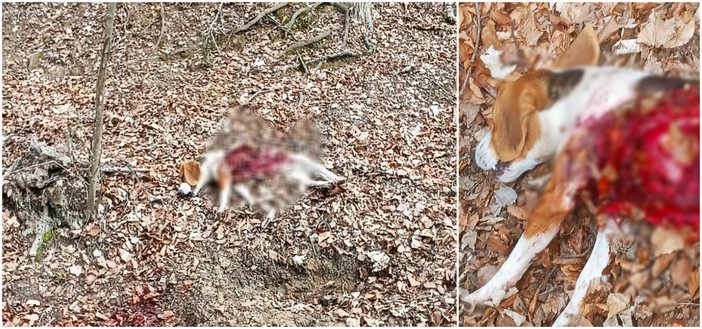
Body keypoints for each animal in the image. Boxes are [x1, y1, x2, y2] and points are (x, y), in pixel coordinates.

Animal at [464, 25, 700, 326]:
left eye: (494, 123)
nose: (473, 154)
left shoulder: (556, 197)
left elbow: (518, 254)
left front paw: (482, 294)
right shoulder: (614, 216)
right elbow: (587, 278)